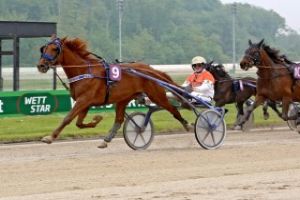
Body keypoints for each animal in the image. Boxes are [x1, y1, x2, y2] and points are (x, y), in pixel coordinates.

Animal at [36, 35, 189, 148]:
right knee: (119, 119)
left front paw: (49, 137)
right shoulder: (85, 103)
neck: (84, 71)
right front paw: (97, 119)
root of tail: (152, 70)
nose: (41, 65)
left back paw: (187, 125)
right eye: (44, 48)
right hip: (123, 99)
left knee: (173, 109)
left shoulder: (84, 100)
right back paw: (107, 139)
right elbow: (79, 123)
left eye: (55, 49)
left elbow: (67, 118)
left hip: (156, 95)